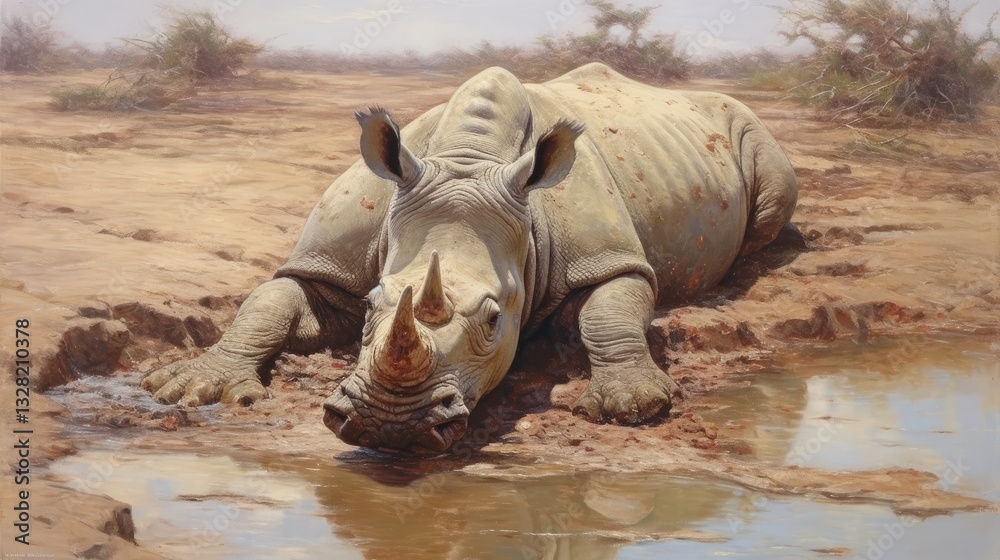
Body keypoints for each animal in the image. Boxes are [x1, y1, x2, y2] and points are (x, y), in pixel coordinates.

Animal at [142, 63, 797, 454]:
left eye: (493, 320)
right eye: (373, 305)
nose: (388, 426)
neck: (469, 161)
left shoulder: (610, 257)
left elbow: (606, 309)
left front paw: (632, 407)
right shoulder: (331, 261)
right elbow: (270, 298)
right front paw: (190, 389)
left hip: (746, 127)